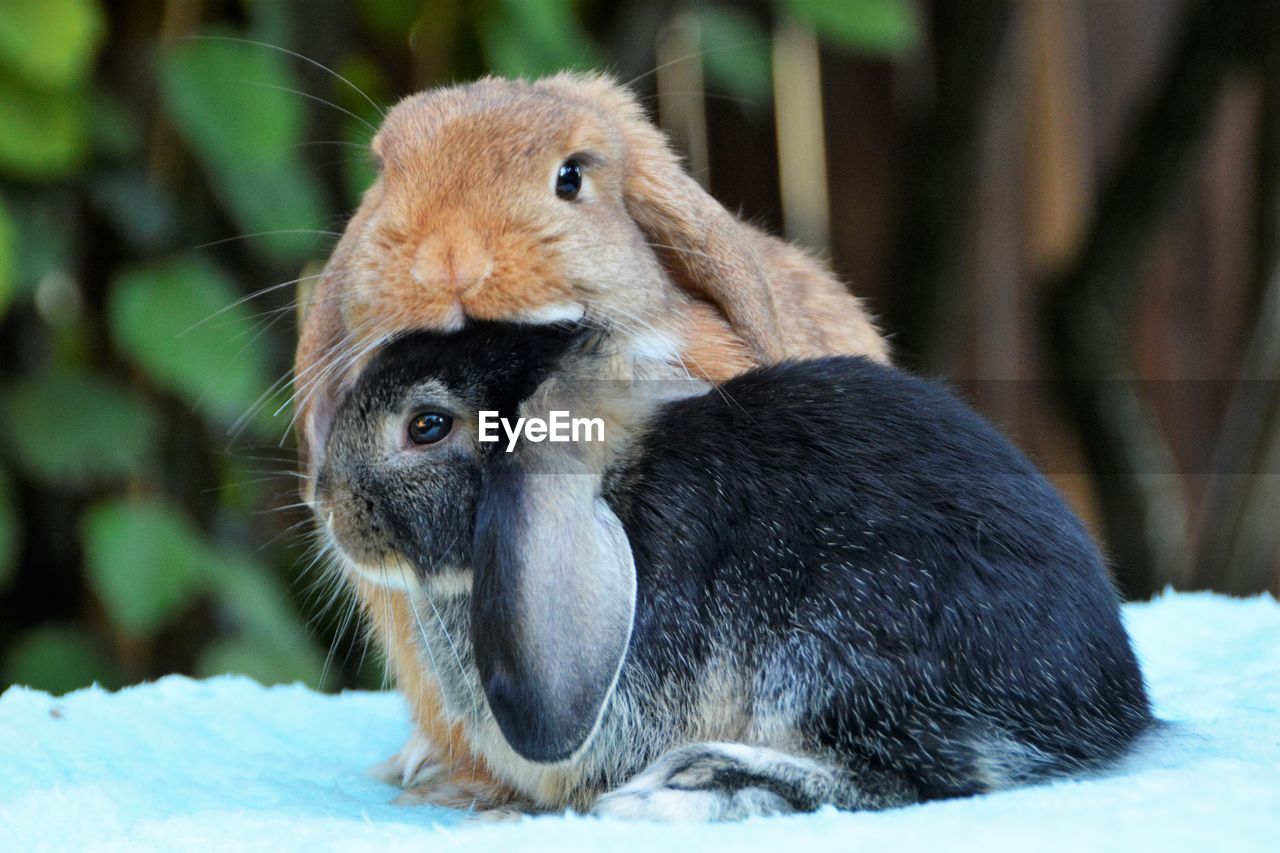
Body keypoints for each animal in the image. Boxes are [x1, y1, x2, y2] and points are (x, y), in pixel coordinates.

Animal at [314, 320, 1157, 819]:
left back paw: (681, 788)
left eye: (427, 425)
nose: (323, 497)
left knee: (918, 779)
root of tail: (1114, 704)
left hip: (836, 648)